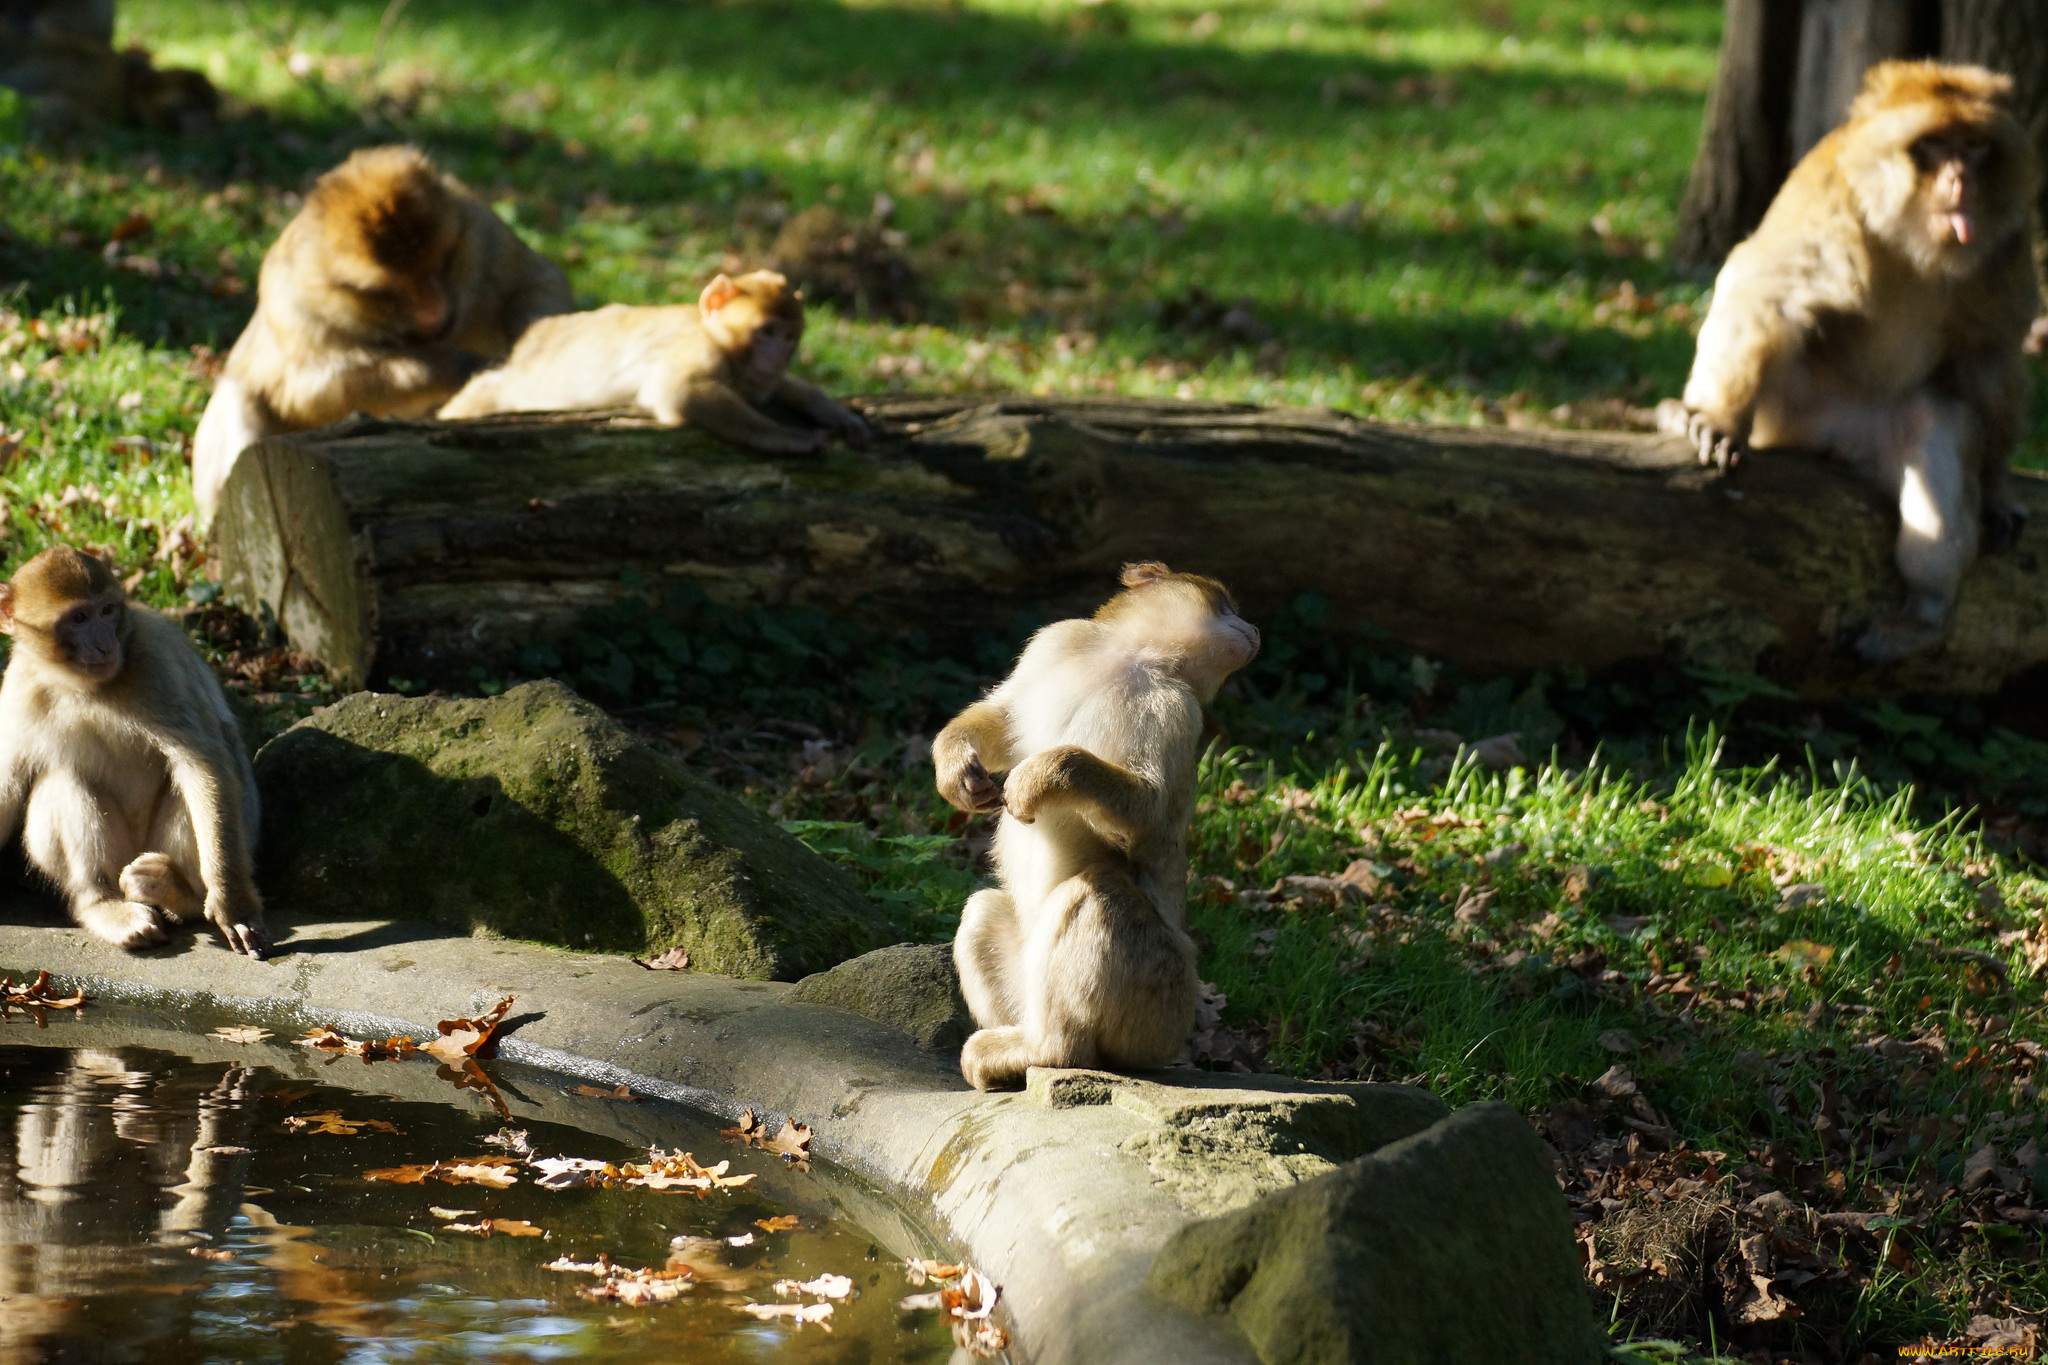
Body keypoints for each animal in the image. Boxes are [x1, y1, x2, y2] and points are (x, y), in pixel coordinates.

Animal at [0, 548, 268, 961]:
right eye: (79, 618)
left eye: (107, 611)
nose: (105, 645)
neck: (79, 686)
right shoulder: (18, 687)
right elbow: (7, 787)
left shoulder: (156, 660)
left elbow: (203, 765)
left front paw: (234, 906)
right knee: (64, 776)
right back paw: (101, 904)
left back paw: (176, 891)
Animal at [190, 143, 569, 517]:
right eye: (386, 293)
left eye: (443, 264)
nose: (433, 311)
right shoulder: (295, 304)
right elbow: (305, 391)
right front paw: (458, 366)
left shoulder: (483, 232)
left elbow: (536, 283)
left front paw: (528, 348)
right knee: (241, 394)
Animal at [436, 270, 868, 456]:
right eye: (766, 332)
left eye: (789, 337)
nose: (777, 357)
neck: (712, 334)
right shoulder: (698, 349)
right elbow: (681, 392)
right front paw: (785, 437)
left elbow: (779, 389)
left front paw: (835, 412)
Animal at [933, 560, 1253, 1096]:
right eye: (1226, 603)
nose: (1253, 628)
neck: (1130, 657)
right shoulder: (1057, 640)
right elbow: (1001, 719)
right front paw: (956, 768)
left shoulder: (1176, 710)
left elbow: (1148, 816)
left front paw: (1046, 775)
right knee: (983, 910)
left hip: (1158, 1009)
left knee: (1098, 894)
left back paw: (1049, 1051)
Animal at [1654, 62, 2039, 663]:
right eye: (1932, 147)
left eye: (1974, 147)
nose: (1960, 181)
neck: (1912, 238)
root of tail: (1836, 441)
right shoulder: (1828, 194)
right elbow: (1764, 290)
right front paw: (1713, 418)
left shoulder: (2009, 241)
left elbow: (1989, 359)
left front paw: (1999, 487)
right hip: (1793, 414)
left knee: (1939, 418)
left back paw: (1924, 613)